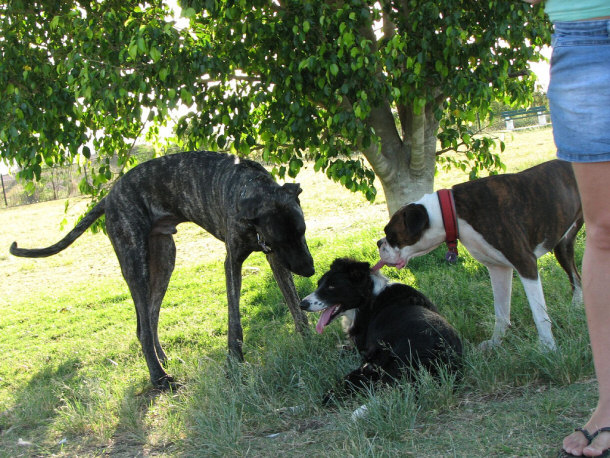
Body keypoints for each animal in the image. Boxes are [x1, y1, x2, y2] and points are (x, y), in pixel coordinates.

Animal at [376, 159, 580, 348]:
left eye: (391, 234)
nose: (379, 243)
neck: (453, 212)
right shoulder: (499, 269)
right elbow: (501, 312)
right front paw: (496, 343)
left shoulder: (526, 264)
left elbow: (539, 315)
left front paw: (548, 348)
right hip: (563, 246)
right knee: (576, 278)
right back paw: (576, 310)